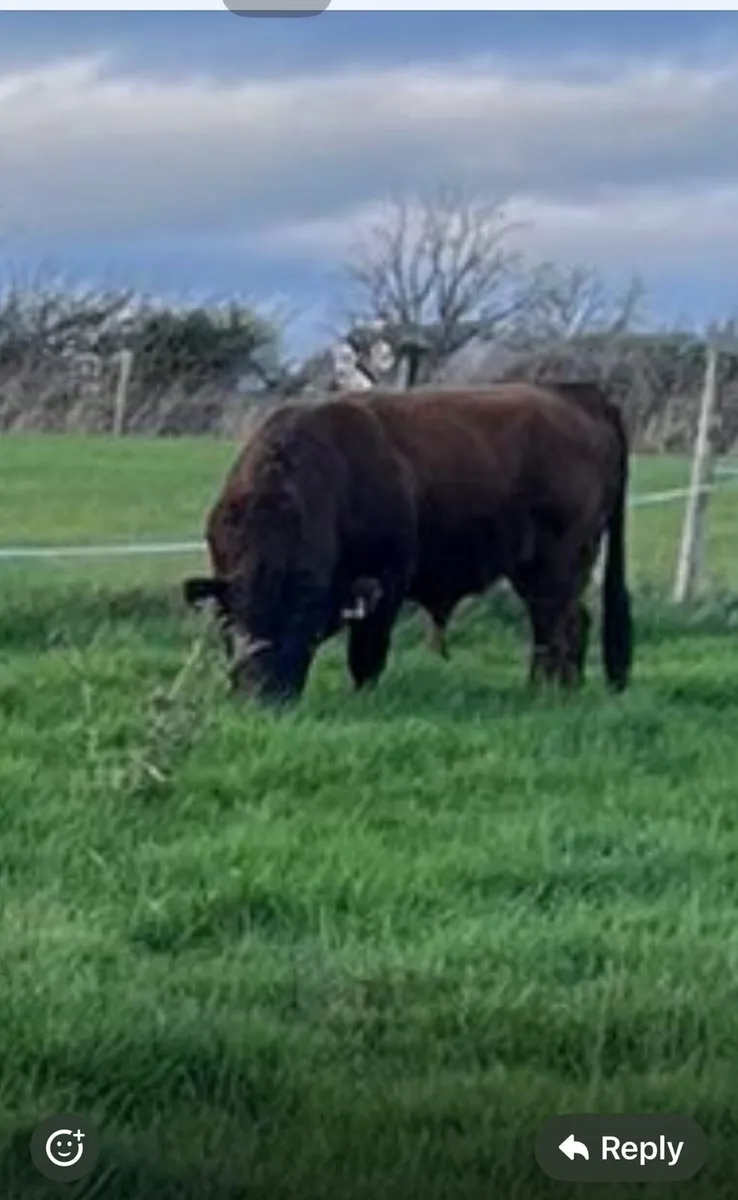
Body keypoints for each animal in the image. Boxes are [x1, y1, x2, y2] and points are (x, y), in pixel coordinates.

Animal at [183, 382, 632, 704]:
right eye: (234, 621)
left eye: (301, 620)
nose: (262, 695)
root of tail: (576, 395)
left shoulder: (385, 582)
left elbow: (367, 654)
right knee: (567, 623)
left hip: (557, 566)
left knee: (558, 626)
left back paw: (548, 693)